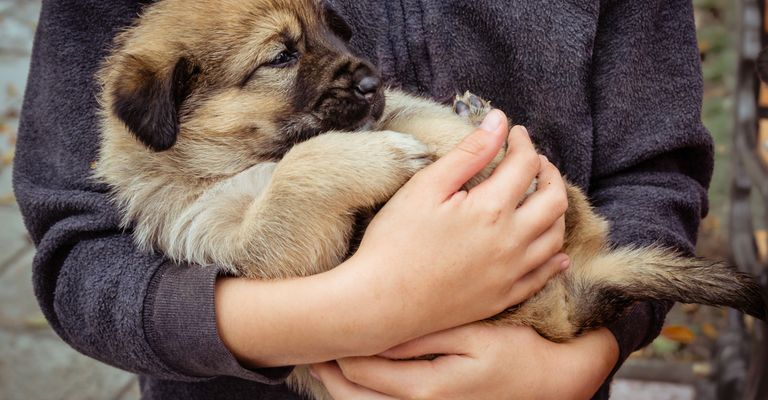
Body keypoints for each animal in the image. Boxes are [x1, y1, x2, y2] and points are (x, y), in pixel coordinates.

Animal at [96, 1, 768, 398]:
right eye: (281, 56)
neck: (241, 160)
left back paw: (492, 136)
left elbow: (410, 115)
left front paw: (462, 142)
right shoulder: (254, 245)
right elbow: (298, 174)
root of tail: (569, 300)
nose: (372, 79)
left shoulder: (389, 111)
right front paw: (384, 158)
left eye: (331, 29)